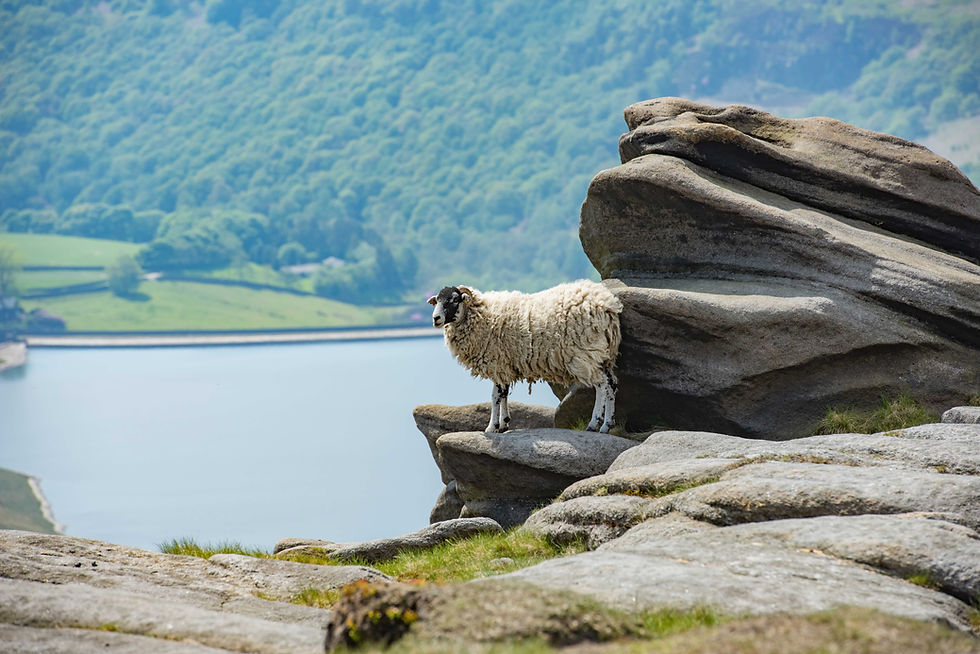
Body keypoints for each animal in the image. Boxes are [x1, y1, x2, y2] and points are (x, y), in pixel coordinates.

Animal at [428, 280, 623, 433]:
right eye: (437, 300)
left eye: (455, 299)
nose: (435, 318)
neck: (481, 315)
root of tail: (607, 306)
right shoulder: (505, 365)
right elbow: (504, 394)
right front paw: (504, 424)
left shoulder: (497, 362)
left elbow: (495, 396)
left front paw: (491, 427)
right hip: (603, 355)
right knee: (611, 384)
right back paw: (607, 424)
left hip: (586, 353)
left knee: (601, 385)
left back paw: (594, 423)